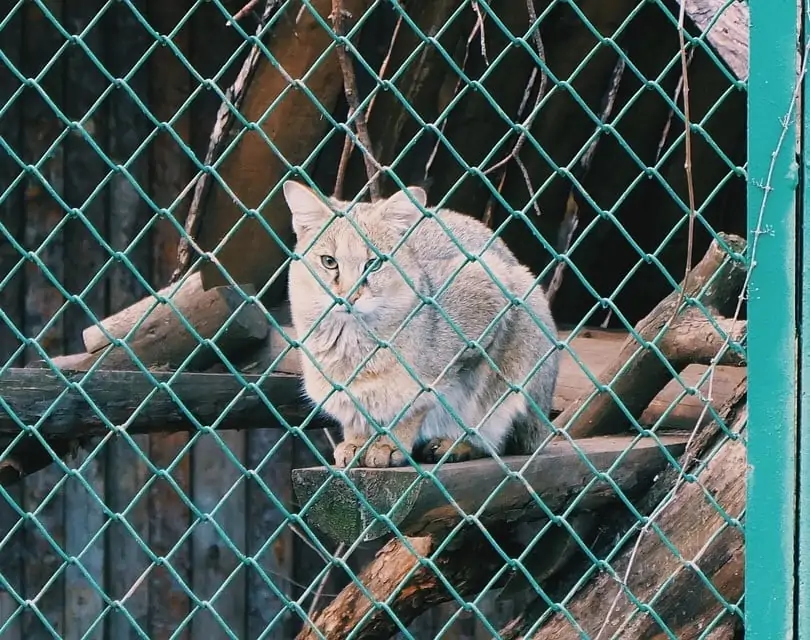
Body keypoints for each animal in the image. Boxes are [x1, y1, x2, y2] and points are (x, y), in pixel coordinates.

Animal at [282, 181, 556, 470]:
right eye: (329, 261)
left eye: (374, 263)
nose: (349, 295)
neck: (353, 349)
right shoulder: (342, 392)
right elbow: (356, 414)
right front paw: (357, 441)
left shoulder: (486, 295)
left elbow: (419, 404)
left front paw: (390, 443)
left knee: (500, 440)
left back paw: (455, 445)